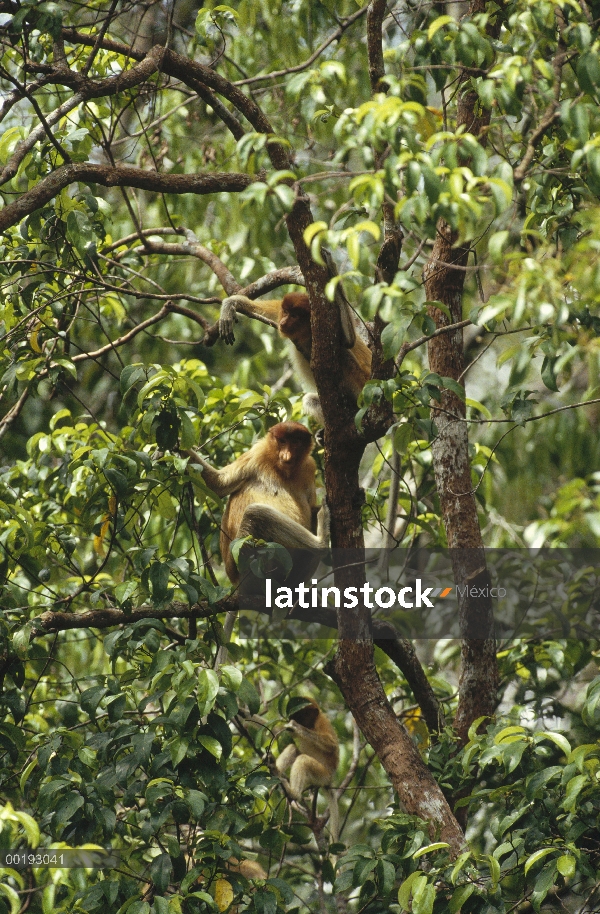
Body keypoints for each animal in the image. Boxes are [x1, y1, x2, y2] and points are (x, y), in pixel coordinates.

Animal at [276, 700, 340, 840]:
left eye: (302, 715)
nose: (293, 718)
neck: (311, 725)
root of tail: (330, 780)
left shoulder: (321, 722)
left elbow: (331, 745)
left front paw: (295, 727)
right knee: (293, 749)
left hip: (322, 775)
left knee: (303, 759)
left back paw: (293, 793)